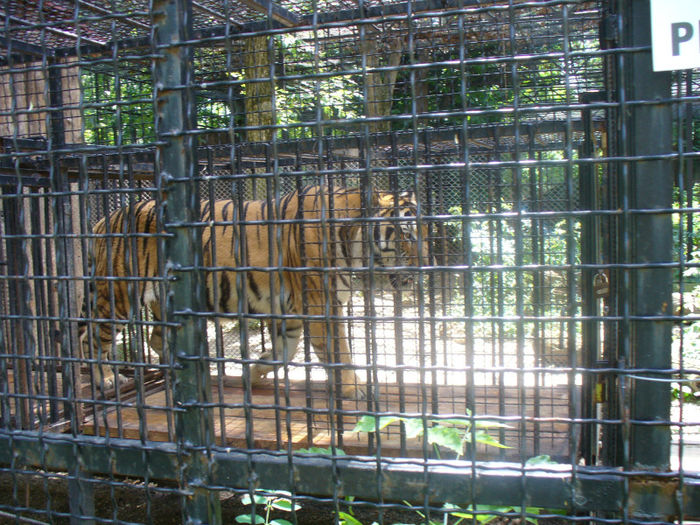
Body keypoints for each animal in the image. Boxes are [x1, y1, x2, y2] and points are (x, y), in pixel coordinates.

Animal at [76, 184, 426, 398]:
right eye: (407, 236)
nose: (427, 265)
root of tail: (103, 220)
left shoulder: (290, 311)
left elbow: (285, 352)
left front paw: (255, 372)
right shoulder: (320, 306)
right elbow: (339, 352)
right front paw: (356, 390)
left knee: (155, 339)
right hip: (118, 296)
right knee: (91, 338)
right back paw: (106, 378)